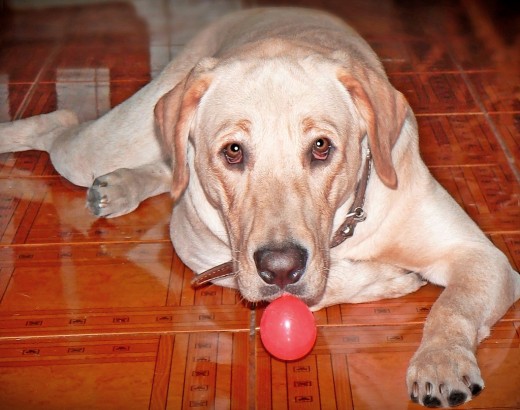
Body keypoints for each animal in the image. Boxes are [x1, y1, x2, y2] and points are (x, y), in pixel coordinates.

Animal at [1, 8, 520, 408]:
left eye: (321, 147)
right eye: (233, 151)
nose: (282, 268)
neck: (345, 227)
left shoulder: (483, 257)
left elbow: (451, 307)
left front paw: (441, 361)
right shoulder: (205, 250)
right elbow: (335, 281)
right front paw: (388, 279)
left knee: (161, 164)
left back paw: (120, 185)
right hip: (106, 143)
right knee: (69, 123)